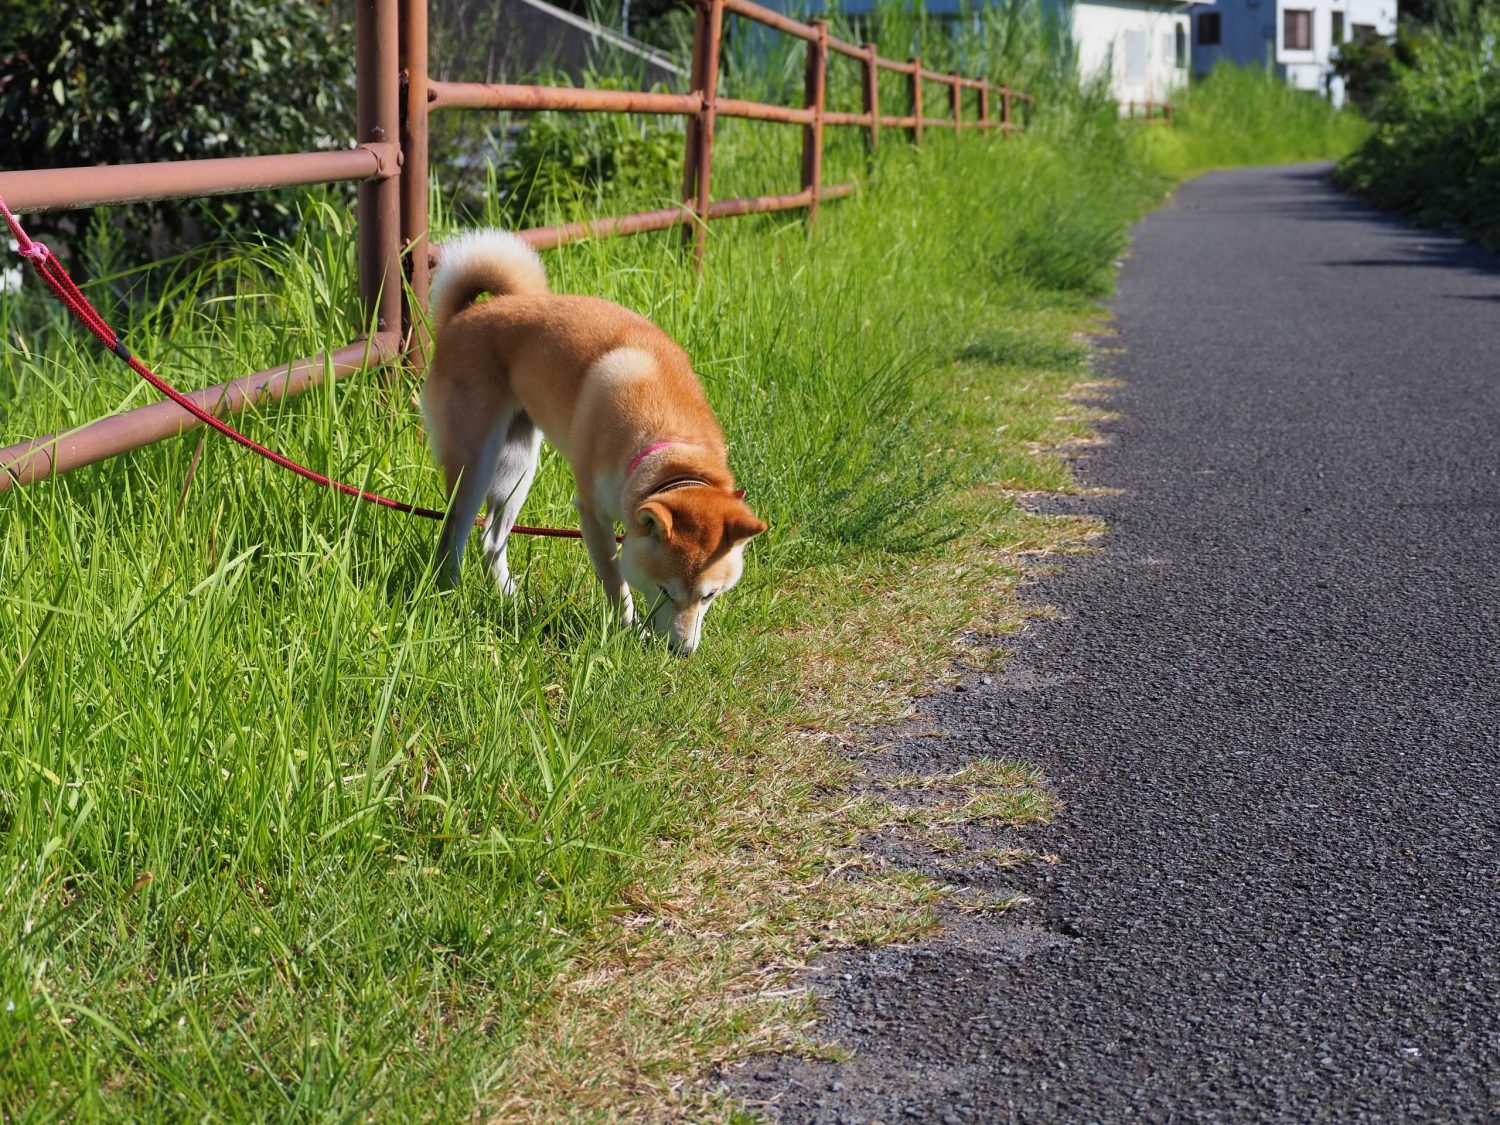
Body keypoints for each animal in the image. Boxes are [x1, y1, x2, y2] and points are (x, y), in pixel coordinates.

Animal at [426, 231, 768, 651]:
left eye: (709, 595)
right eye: (665, 590)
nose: (682, 651)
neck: (670, 449)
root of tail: (460, 318)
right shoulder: (593, 515)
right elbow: (617, 583)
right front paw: (627, 629)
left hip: (516, 469)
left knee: (491, 541)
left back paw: (511, 599)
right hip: (476, 466)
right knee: (454, 535)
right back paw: (451, 595)